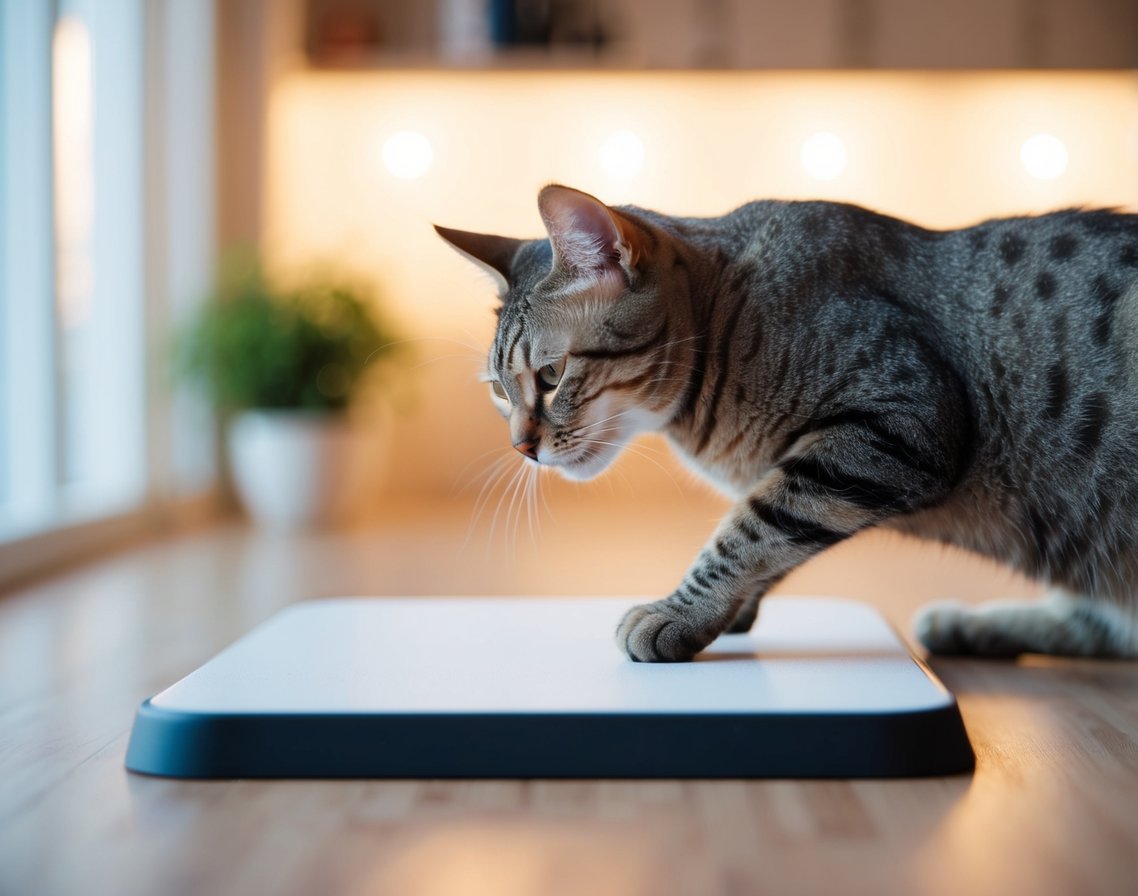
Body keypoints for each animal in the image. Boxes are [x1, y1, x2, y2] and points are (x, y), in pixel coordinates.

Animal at [434, 185, 1138, 660]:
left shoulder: (900, 420)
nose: (521, 447)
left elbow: (752, 527)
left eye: (551, 376)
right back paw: (968, 626)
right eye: (499, 392)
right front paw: (726, 613)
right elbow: (769, 526)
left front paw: (681, 612)